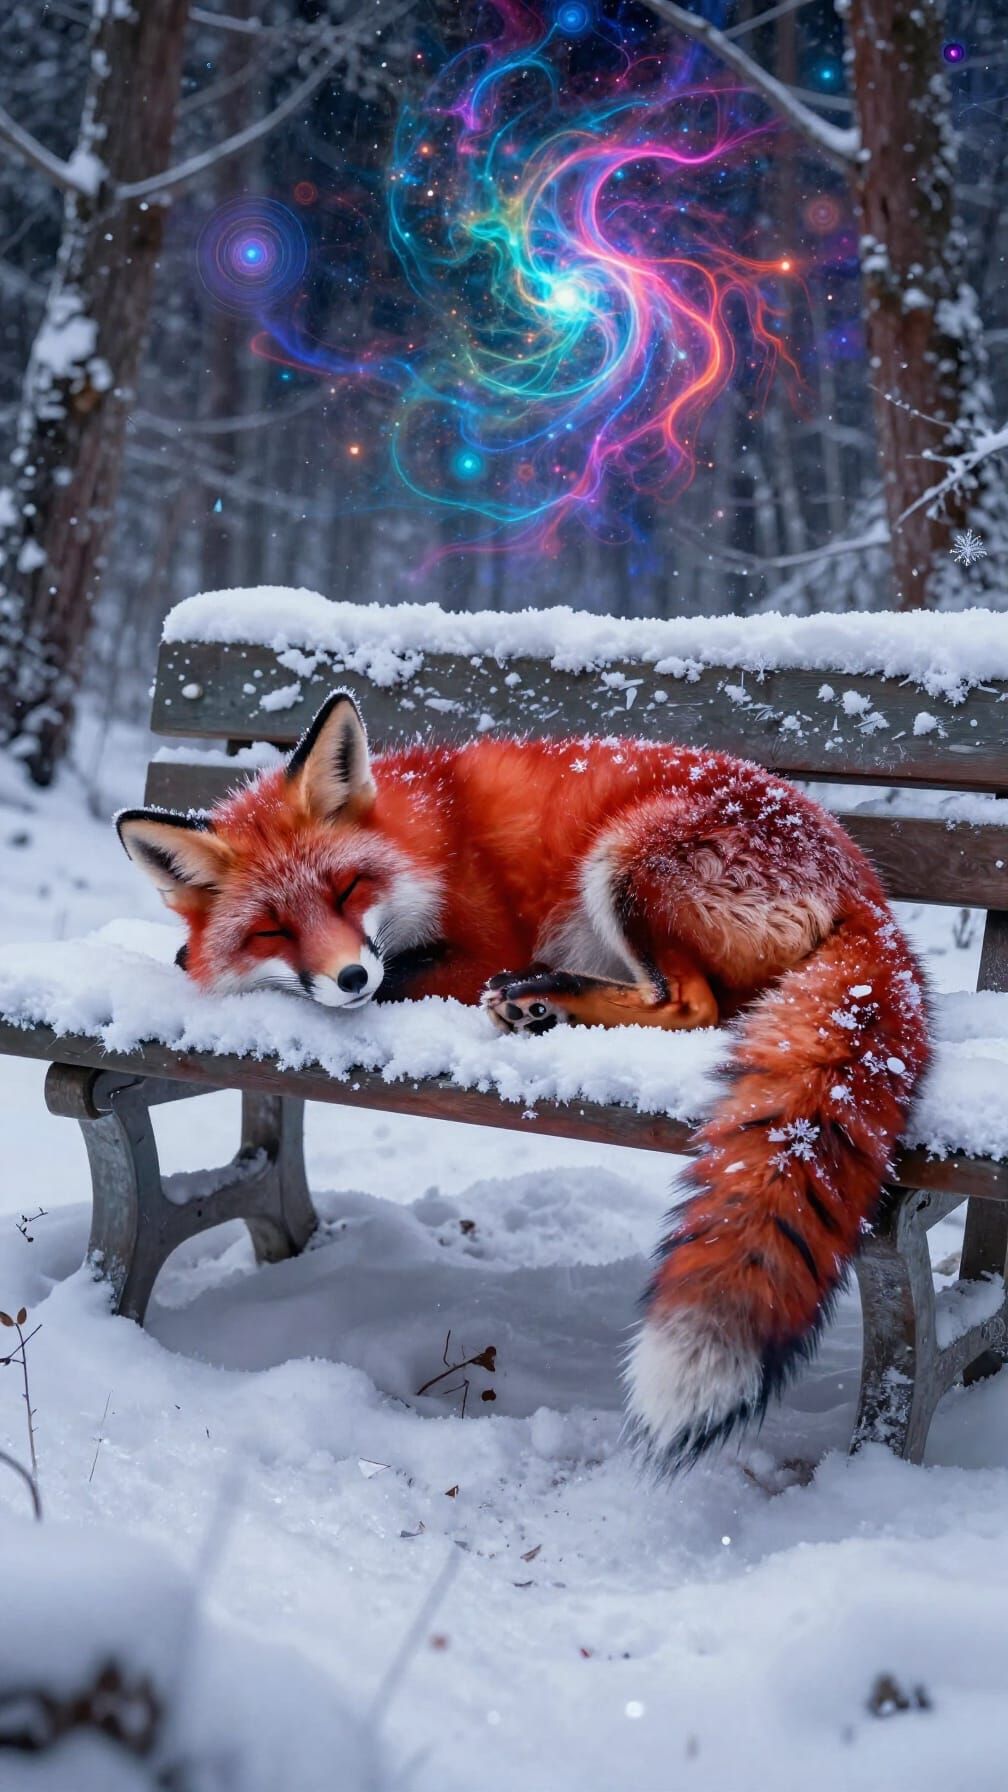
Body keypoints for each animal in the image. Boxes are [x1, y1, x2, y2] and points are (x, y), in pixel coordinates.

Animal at [117, 689, 929, 1469]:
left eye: (347, 889)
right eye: (272, 930)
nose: (348, 977)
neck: (422, 835)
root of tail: (870, 889)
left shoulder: (481, 945)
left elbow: (404, 976)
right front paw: (196, 958)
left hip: (626, 862)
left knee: (697, 1006)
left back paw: (543, 1000)